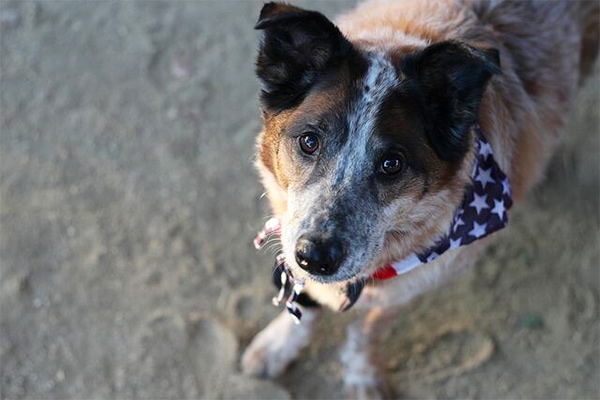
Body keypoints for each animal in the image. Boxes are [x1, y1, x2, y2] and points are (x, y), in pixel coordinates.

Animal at [241, 0, 596, 396]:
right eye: (308, 141)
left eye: (392, 163)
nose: (315, 257)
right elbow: (302, 298)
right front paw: (277, 347)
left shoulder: (417, 282)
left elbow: (368, 327)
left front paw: (362, 374)